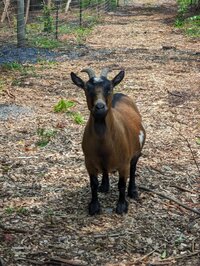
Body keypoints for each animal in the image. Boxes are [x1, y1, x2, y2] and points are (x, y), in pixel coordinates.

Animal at [70, 67, 145, 215]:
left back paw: (133, 191)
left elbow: (121, 184)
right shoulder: (89, 162)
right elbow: (93, 184)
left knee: (133, 168)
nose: (100, 107)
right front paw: (94, 206)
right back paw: (104, 186)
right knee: (105, 171)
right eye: (87, 88)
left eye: (109, 87)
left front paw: (122, 206)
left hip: (136, 152)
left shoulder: (124, 163)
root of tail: (121, 95)